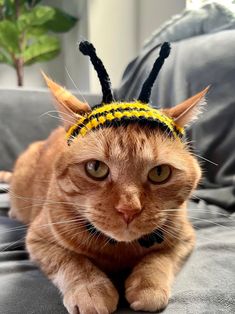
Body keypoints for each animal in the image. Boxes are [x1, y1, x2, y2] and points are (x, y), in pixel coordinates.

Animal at [9, 42, 208, 314]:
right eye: (96, 168)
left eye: (159, 173)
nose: (129, 210)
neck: (119, 251)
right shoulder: (39, 240)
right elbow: (72, 260)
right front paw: (91, 289)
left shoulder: (185, 239)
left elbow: (160, 258)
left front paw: (148, 286)